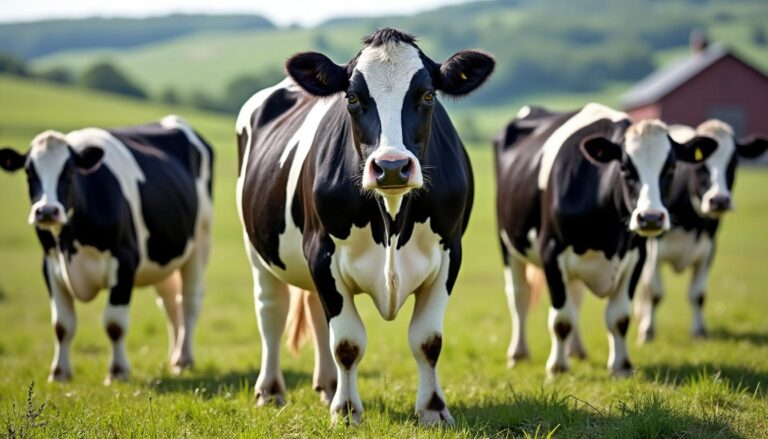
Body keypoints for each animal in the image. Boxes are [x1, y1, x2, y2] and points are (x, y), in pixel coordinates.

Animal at [0, 115, 213, 384]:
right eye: (29, 171)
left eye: (69, 171)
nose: (47, 211)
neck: (70, 242)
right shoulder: (49, 264)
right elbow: (61, 325)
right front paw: (59, 373)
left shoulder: (125, 261)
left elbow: (114, 324)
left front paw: (118, 371)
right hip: (163, 258)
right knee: (170, 305)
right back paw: (174, 357)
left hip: (199, 244)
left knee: (188, 302)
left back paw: (184, 359)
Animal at [235, 28, 494, 425]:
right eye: (353, 97)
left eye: (428, 95)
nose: (391, 167)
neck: (392, 219)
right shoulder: (322, 252)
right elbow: (347, 342)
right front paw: (346, 411)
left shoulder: (451, 251)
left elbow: (428, 340)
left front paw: (434, 409)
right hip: (258, 251)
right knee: (271, 314)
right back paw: (270, 390)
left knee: (315, 314)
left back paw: (327, 386)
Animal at [494, 103, 716, 377]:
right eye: (624, 168)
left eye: (671, 168)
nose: (650, 218)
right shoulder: (551, 253)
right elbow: (561, 319)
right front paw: (558, 367)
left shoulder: (638, 256)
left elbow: (619, 318)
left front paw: (621, 366)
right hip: (508, 245)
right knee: (519, 298)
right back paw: (519, 353)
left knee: (575, 297)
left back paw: (577, 350)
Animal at [635, 119, 768, 343]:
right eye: (699, 165)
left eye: (734, 162)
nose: (719, 200)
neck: (692, 222)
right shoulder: (653, 250)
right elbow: (654, 292)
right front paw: (647, 331)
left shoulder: (708, 249)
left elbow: (697, 294)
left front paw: (699, 331)